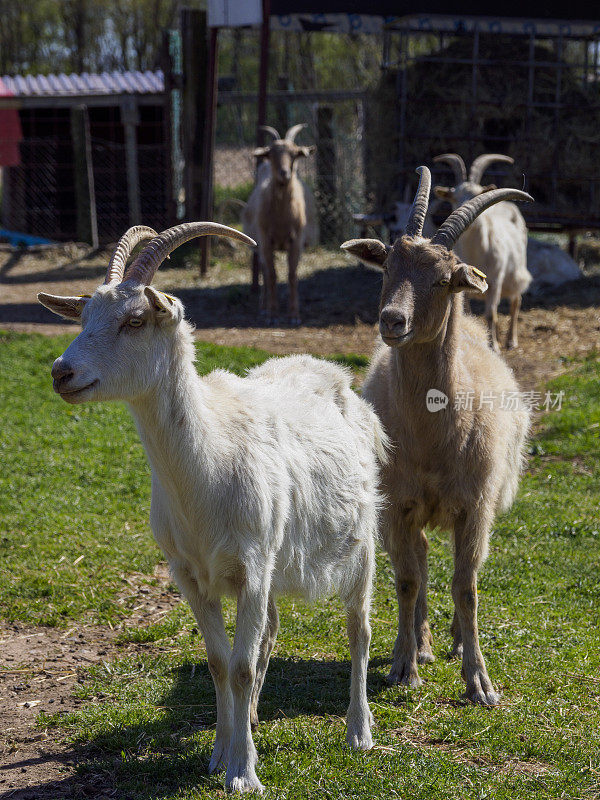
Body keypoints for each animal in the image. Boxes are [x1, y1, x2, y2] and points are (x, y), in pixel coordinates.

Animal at [38, 220, 384, 792]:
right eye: (83, 317)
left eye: (134, 320)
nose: (61, 373)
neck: (209, 462)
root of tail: (333, 375)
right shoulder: (190, 574)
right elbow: (222, 663)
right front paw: (223, 754)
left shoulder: (251, 566)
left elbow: (241, 666)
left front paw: (244, 774)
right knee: (270, 633)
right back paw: (253, 718)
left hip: (360, 541)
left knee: (358, 629)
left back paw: (359, 731)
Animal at [342, 166, 528, 704]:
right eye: (386, 265)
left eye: (445, 280)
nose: (392, 320)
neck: (431, 438)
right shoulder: (398, 506)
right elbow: (407, 581)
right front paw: (405, 665)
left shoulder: (475, 506)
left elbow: (467, 587)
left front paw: (479, 680)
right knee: (422, 564)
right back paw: (420, 643)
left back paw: (453, 640)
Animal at [434, 152, 532, 350]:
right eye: (453, 197)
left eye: (477, 194)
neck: (477, 253)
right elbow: (469, 315)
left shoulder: (496, 281)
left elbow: (491, 314)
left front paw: (494, 346)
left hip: (516, 272)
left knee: (516, 301)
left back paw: (511, 340)